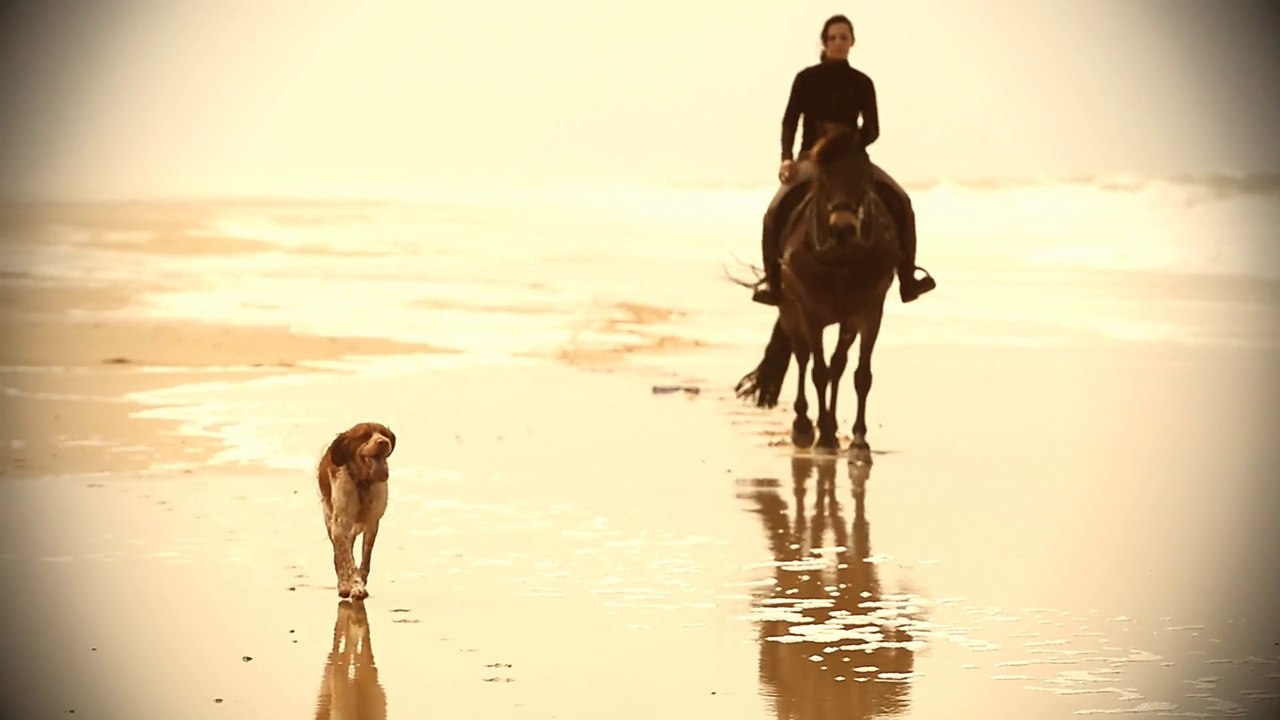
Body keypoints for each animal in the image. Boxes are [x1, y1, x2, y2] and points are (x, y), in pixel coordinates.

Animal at [736, 126, 901, 453]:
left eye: (865, 177)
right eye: (823, 180)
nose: (844, 228)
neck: (840, 259)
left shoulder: (868, 312)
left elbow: (859, 374)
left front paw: (858, 441)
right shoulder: (809, 313)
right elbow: (818, 371)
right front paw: (822, 436)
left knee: (837, 364)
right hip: (790, 310)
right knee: (803, 359)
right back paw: (803, 427)